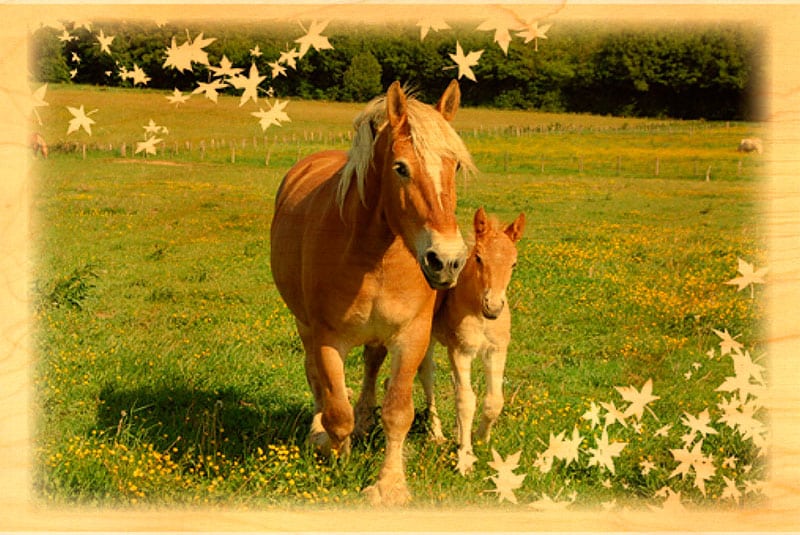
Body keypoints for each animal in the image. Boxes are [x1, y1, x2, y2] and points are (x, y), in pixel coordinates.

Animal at [270, 81, 474, 505]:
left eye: (456, 166)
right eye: (400, 168)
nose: (446, 261)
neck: (375, 254)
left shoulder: (410, 337)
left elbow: (398, 411)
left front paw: (390, 485)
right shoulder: (327, 339)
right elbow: (336, 408)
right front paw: (336, 453)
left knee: (370, 365)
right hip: (304, 326)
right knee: (316, 378)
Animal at [418, 207, 525, 475]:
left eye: (514, 263)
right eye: (478, 258)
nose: (494, 307)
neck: (479, 314)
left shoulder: (496, 351)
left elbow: (494, 401)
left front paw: (479, 438)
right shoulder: (461, 351)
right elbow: (466, 401)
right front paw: (465, 459)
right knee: (426, 376)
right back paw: (437, 434)